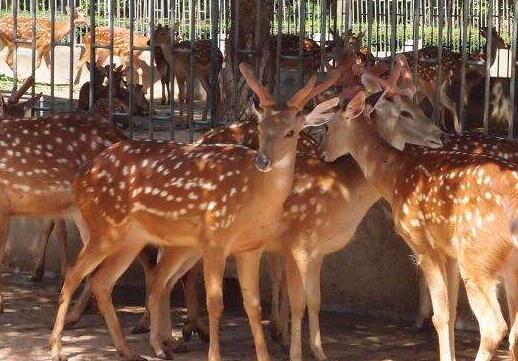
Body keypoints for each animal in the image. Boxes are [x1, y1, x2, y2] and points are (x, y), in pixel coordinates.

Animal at [320, 52, 518, 360]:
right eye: (406, 111)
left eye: (328, 125)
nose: (324, 154)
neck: (396, 176)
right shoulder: (448, 252)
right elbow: (449, 313)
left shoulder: (422, 242)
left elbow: (441, 315)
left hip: (478, 257)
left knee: (494, 326)